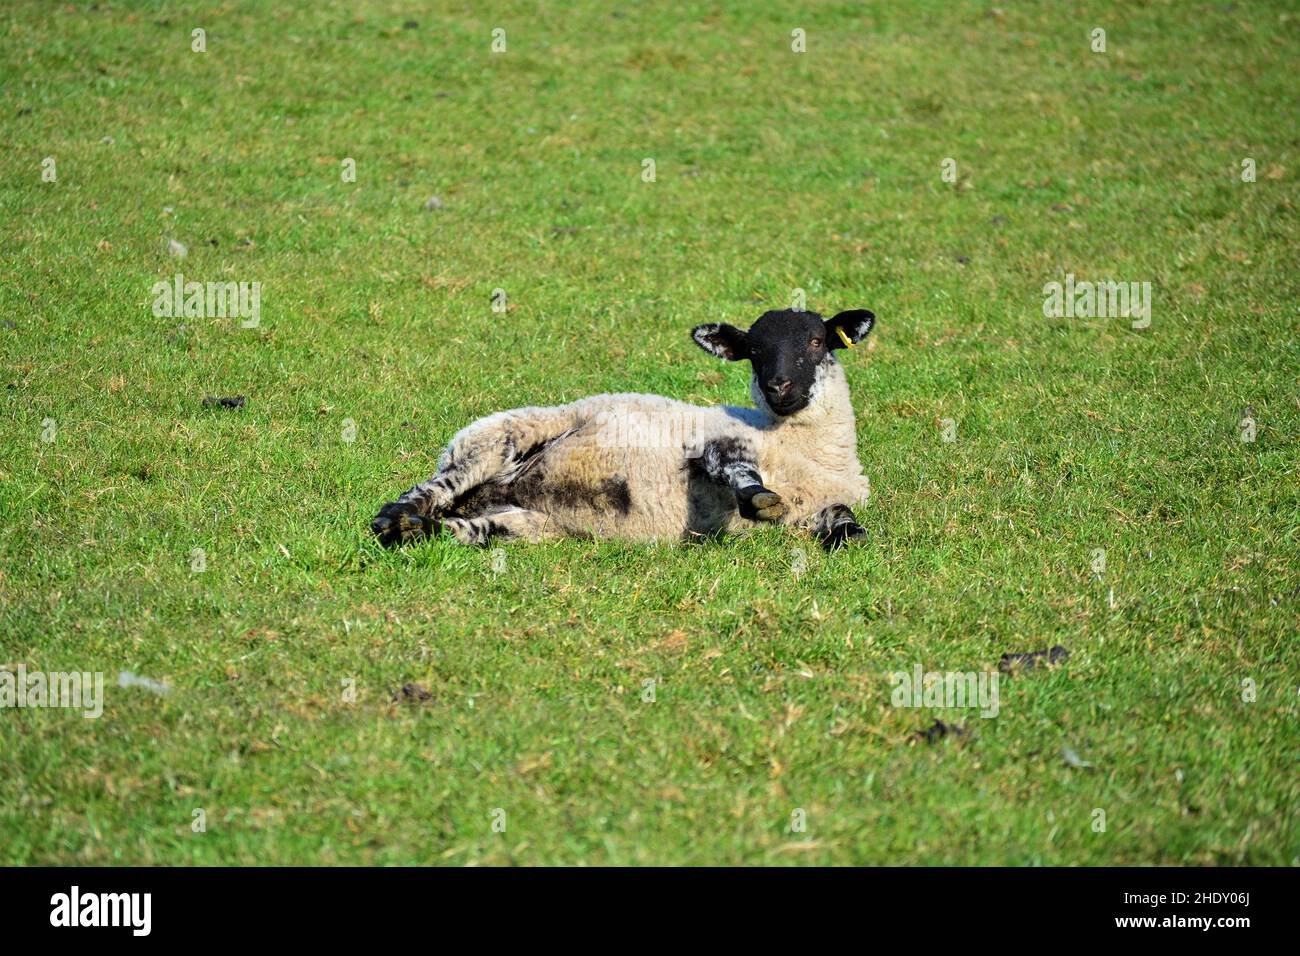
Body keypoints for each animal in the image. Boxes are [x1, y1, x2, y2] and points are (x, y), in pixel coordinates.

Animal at [377, 310, 878, 548]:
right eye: (754, 351)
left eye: (816, 341)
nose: (778, 387)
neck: (803, 450)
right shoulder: (714, 436)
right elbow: (736, 470)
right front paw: (759, 499)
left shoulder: (818, 505)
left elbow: (841, 517)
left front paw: (846, 534)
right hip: (497, 437)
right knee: (434, 486)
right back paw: (393, 517)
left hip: (529, 524)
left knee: (465, 528)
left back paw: (414, 531)